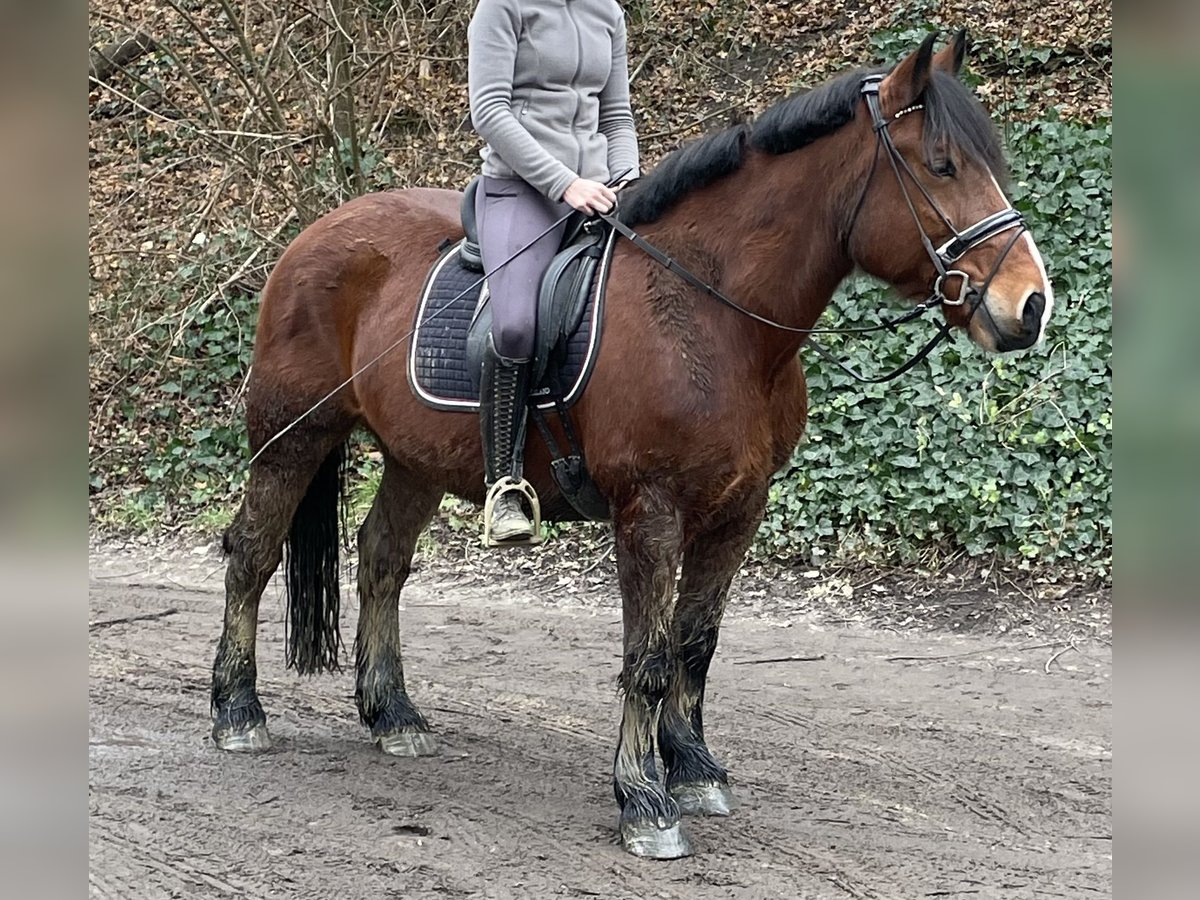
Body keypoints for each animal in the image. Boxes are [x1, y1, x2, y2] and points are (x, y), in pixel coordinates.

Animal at [213, 35, 1051, 864]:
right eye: (941, 166)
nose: (1033, 306)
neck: (715, 315)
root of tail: (316, 233)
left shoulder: (739, 508)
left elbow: (694, 644)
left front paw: (694, 769)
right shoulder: (649, 508)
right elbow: (647, 659)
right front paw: (645, 801)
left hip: (415, 458)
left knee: (383, 559)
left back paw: (393, 716)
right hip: (292, 435)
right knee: (253, 553)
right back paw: (237, 711)